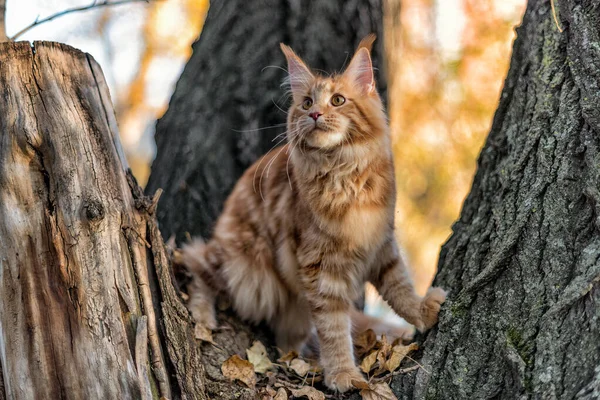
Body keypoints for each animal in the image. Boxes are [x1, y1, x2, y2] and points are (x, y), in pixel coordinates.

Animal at [180, 36, 448, 392]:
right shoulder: (320, 265)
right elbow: (333, 327)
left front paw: (421, 311)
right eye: (307, 103)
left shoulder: (380, 243)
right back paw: (202, 317)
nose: (317, 114)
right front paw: (343, 374)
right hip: (242, 262)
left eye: (338, 100)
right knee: (194, 259)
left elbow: (399, 288)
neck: (344, 174)